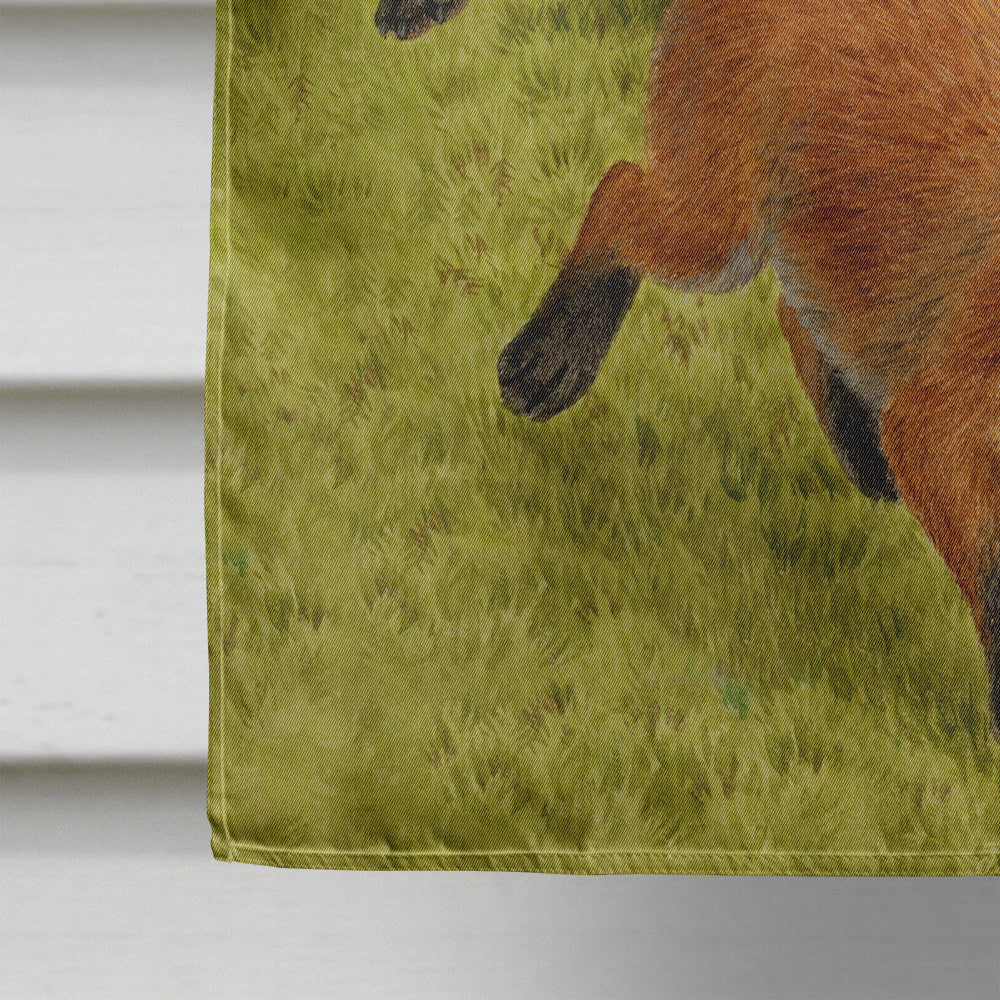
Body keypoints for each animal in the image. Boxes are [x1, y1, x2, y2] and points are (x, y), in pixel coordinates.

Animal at [376, 0, 1000, 737]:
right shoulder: (936, 423)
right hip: (718, 230)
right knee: (619, 190)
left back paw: (862, 457)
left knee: (797, 317)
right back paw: (548, 361)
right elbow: (992, 580)